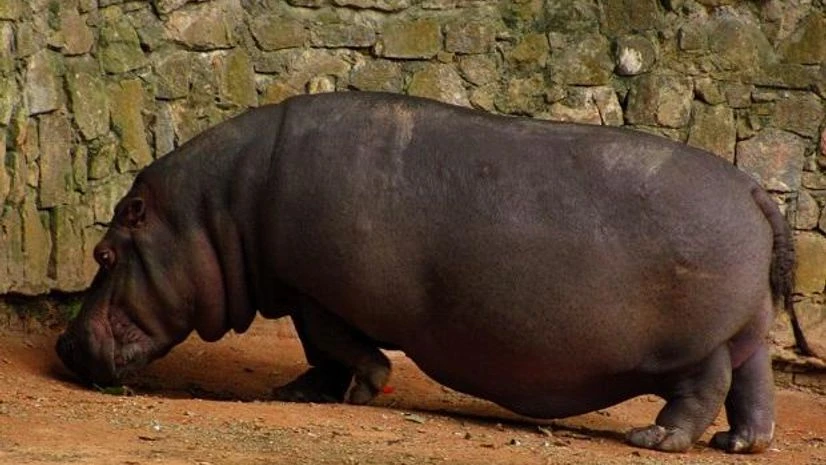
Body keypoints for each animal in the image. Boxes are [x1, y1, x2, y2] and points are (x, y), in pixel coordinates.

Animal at [57, 91, 797, 453]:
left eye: (104, 254)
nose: (63, 342)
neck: (218, 210)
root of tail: (754, 189)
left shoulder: (314, 293)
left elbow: (335, 345)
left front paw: (357, 389)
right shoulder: (305, 290)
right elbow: (318, 353)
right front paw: (296, 392)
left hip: (694, 342)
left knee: (707, 384)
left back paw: (657, 439)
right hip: (749, 327)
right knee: (754, 382)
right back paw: (740, 443)